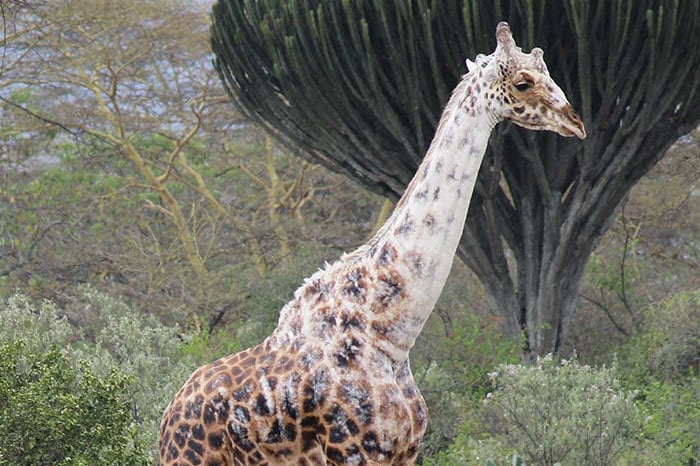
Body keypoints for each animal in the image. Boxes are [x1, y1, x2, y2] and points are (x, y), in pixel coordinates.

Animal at [159, 21, 584, 466]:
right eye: (523, 82)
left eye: (548, 70)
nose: (575, 121)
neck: (390, 335)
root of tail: (168, 417)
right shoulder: (354, 449)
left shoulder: (406, 450)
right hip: (188, 459)